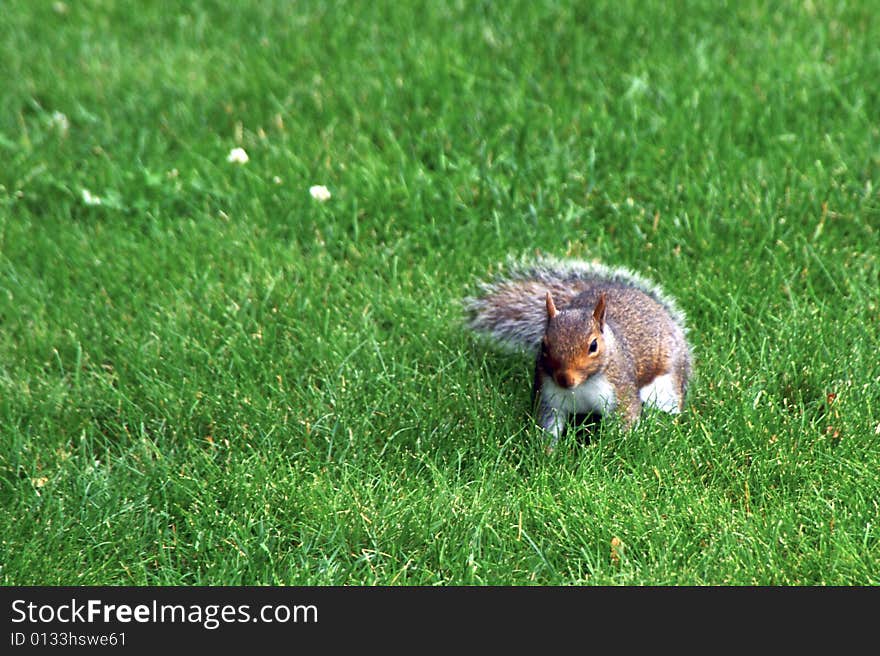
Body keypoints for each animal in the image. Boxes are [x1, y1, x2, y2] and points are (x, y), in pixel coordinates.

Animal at [464, 256, 696, 446]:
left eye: (593, 346)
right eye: (544, 344)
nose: (565, 379)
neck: (583, 385)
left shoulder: (620, 390)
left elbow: (625, 421)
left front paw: (612, 449)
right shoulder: (550, 395)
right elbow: (548, 427)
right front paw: (545, 456)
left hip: (666, 386)